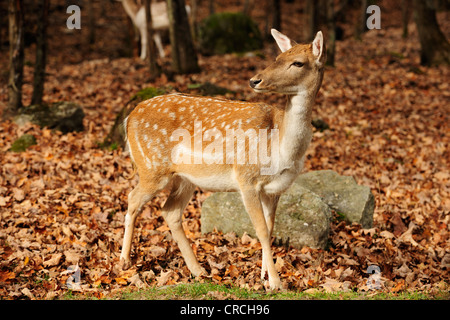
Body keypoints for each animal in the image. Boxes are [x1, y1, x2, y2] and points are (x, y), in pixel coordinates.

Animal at [121, 29, 326, 290]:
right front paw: (276, 283)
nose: (255, 80)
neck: (282, 147)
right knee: (133, 199)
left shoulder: (275, 189)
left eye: (297, 62)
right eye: (278, 58)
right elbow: (260, 230)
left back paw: (198, 270)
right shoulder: (246, 177)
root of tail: (128, 118)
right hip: (152, 167)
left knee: (169, 211)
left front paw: (264, 275)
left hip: (185, 178)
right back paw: (124, 261)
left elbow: (270, 229)